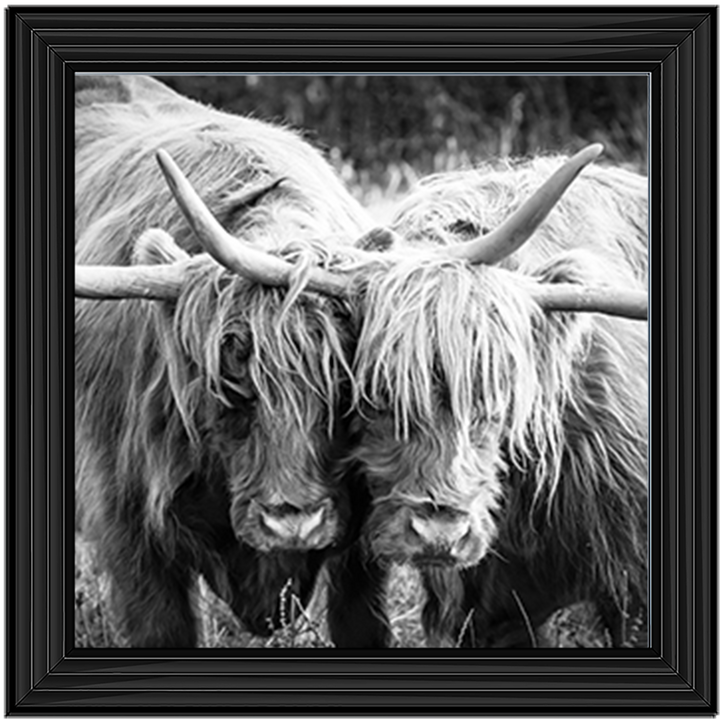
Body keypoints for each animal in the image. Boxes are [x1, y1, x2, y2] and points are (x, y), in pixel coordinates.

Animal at [74, 75, 388, 648]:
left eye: (344, 385)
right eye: (229, 380)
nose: (293, 523)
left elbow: (361, 621)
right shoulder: (126, 523)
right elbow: (161, 628)